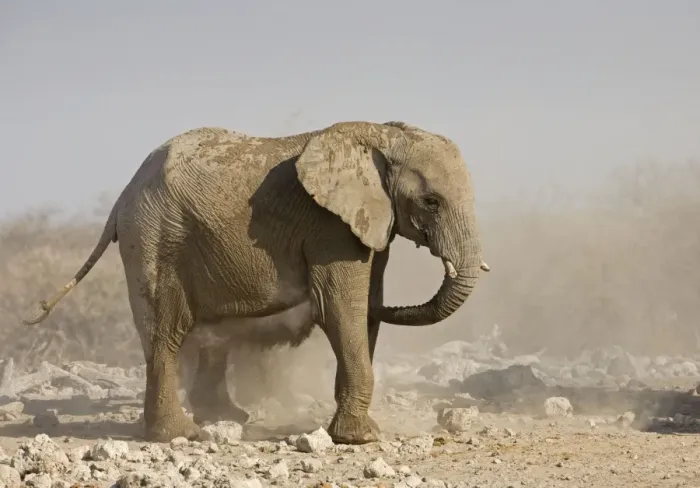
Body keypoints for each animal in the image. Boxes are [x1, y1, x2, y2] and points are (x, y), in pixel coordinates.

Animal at [23, 120, 490, 444]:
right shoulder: (328, 227)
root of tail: (122, 195)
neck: (382, 135)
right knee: (164, 332)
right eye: (431, 201)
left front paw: (354, 431)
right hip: (154, 235)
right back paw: (182, 435)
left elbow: (364, 311)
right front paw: (360, 439)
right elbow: (342, 309)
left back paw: (227, 419)